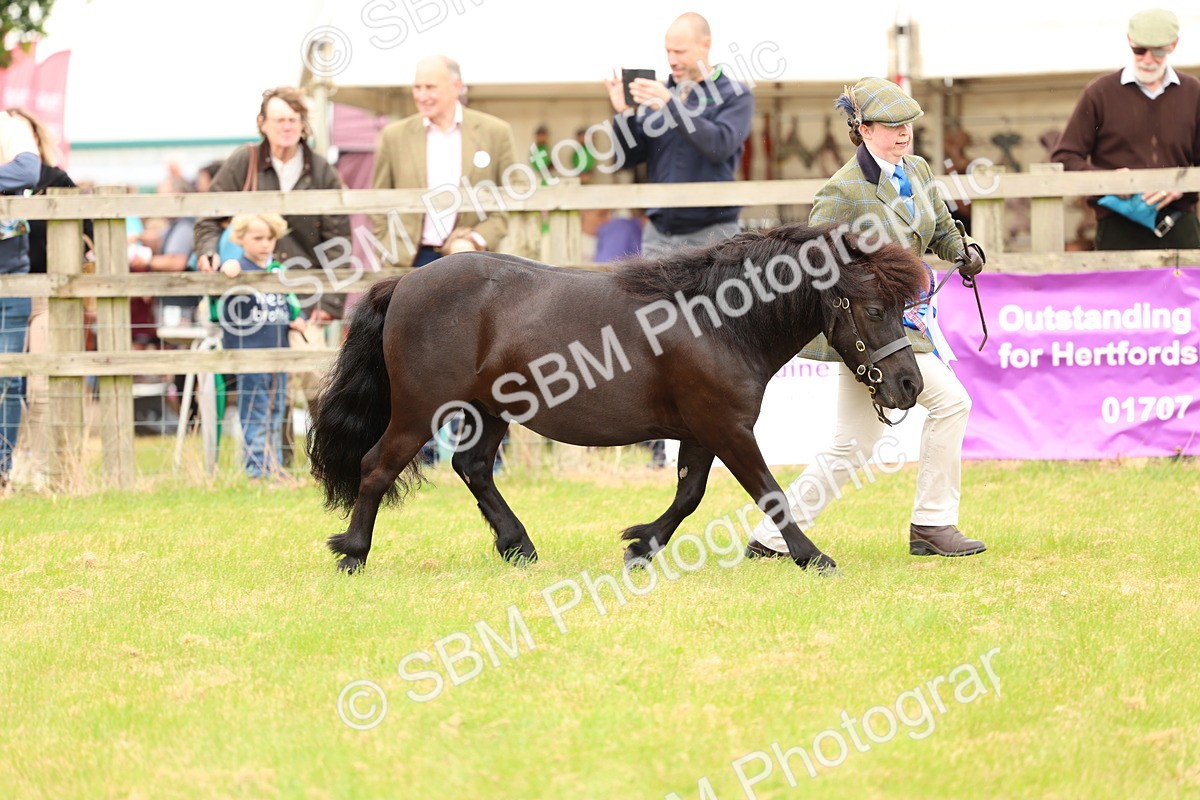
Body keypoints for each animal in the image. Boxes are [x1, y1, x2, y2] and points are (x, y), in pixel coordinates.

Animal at [306, 222, 928, 574]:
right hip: (419, 410)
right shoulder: (726, 428)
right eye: (875, 308)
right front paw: (812, 557)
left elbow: (689, 496)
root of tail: (405, 283)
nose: (910, 386)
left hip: (490, 410)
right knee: (376, 466)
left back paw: (517, 545)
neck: (719, 322)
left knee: (473, 468)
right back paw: (353, 552)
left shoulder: (701, 432)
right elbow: (769, 494)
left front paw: (641, 545)